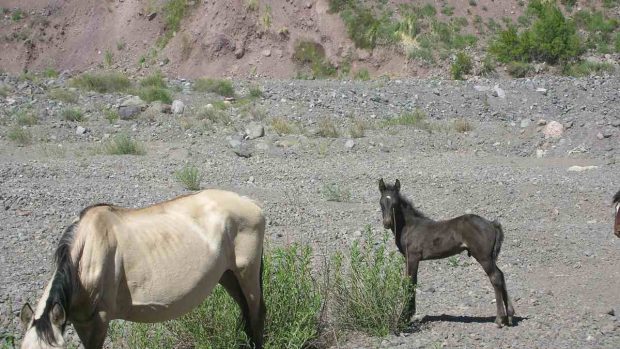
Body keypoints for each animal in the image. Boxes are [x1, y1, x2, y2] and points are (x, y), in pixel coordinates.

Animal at [18, 189, 266, 346]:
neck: (85, 255)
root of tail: (251, 203)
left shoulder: (99, 320)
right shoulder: (81, 321)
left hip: (247, 273)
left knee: (256, 315)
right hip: (228, 276)